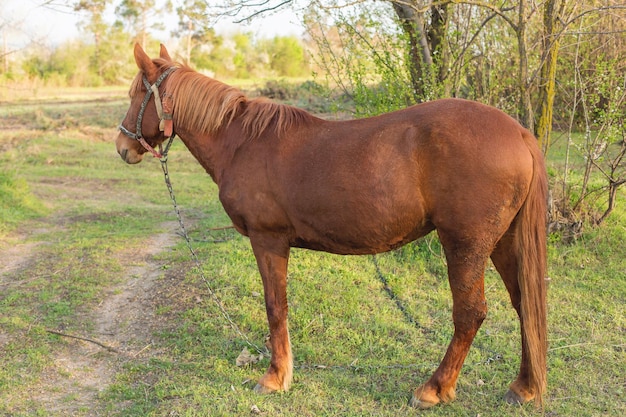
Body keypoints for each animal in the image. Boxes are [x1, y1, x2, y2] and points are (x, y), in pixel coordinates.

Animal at [117, 44, 544, 408]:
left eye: (136, 94)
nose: (123, 148)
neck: (241, 142)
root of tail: (519, 132)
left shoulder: (268, 240)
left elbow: (276, 306)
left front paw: (275, 377)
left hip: (465, 244)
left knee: (469, 314)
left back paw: (434, 388)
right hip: (503, 243)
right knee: (524, 304)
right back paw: (523, 387)